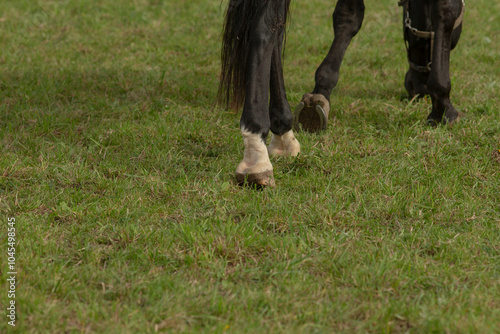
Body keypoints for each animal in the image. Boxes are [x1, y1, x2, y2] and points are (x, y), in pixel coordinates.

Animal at [219, 0, 464, 187]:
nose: (416, 87)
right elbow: (446, 10)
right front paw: (442, 105)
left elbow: (349, 14)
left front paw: (319, 95)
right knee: (265, 29)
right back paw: (257, 155)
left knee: (275, 31)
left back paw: (283, 133)